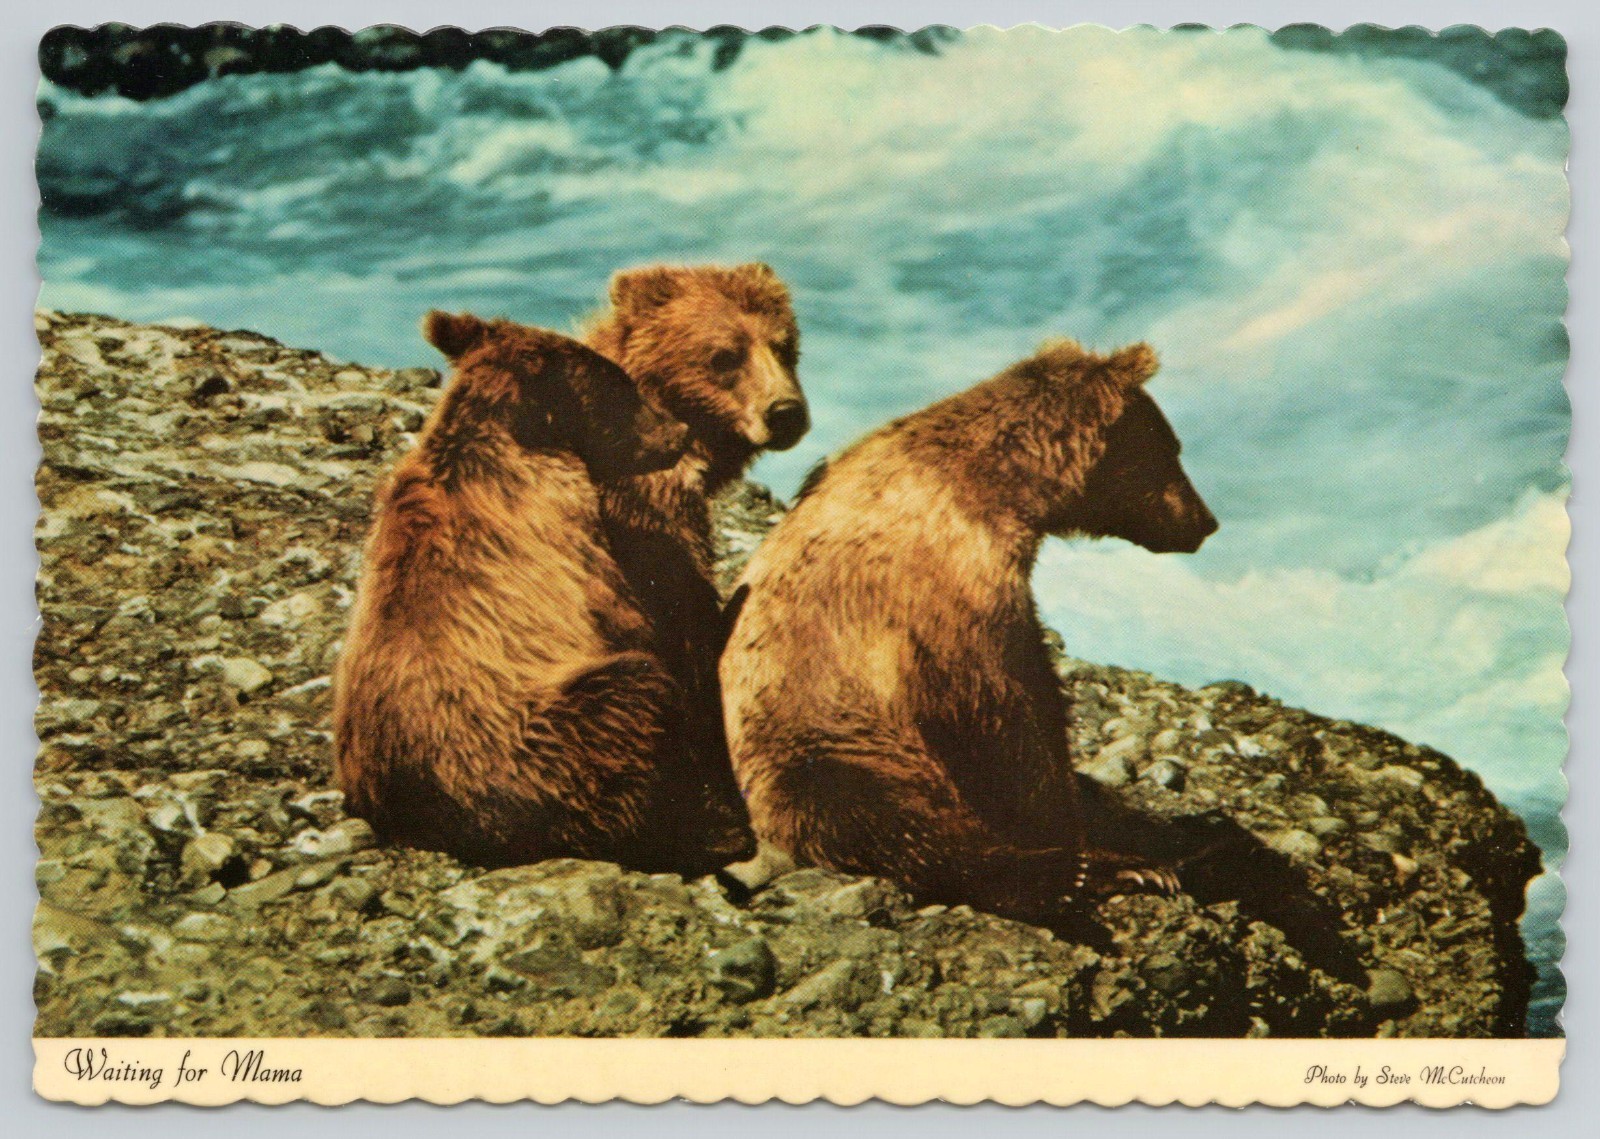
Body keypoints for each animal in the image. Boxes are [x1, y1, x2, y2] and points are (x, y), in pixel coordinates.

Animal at [334, 310, 738, 874]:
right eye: (621, 386)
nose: (676, 433)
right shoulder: (565, 526)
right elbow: (638, 618)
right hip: (538, 740)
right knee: (632, 700)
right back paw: (713, 830)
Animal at [719, 338, 1218, 925]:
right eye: (1173, 449)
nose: (1205, 522)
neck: (999, 491)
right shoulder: (949, 594)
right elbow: (1009, 719)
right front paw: (1098, 848)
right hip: (820, 743)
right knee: (889, 819)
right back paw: (1088, 874)